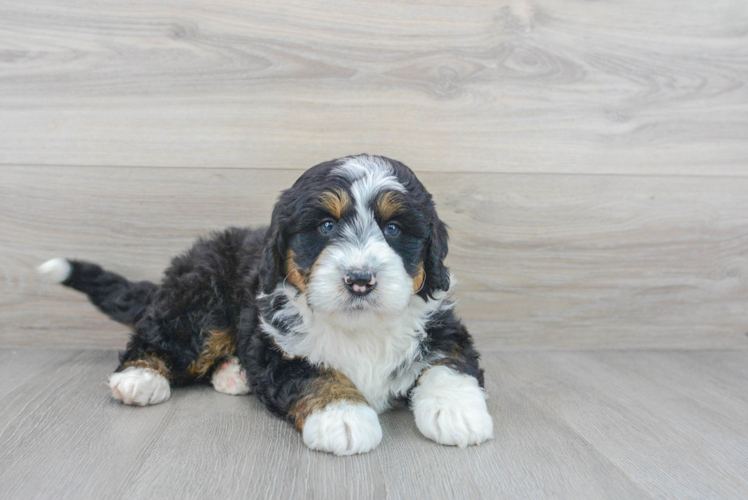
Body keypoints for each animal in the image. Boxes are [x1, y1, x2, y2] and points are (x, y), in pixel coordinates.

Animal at [38, 154, 494, 456]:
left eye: (394, 228)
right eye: (325, 226)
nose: (360, 280)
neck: (358, 325)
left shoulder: (442, 326)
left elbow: (449, 363)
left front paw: (458, 413)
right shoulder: (278, 344)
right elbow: (315, 373)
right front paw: (344, 416)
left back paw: (233, 375)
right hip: (201, 301)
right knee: (166, 335)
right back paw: (140, 377)